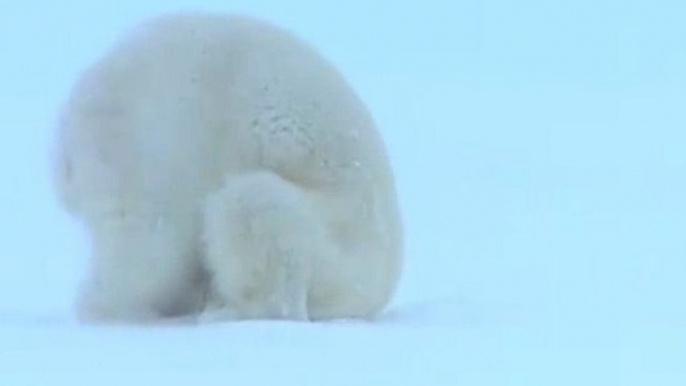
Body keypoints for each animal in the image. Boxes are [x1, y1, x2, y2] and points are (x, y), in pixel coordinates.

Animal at [53, 12, 404, 322]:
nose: (69, 188)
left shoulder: (164, 141)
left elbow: (155, 241)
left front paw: (102, 305)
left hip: (339, 243)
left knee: (256, 205)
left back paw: (225, 311)